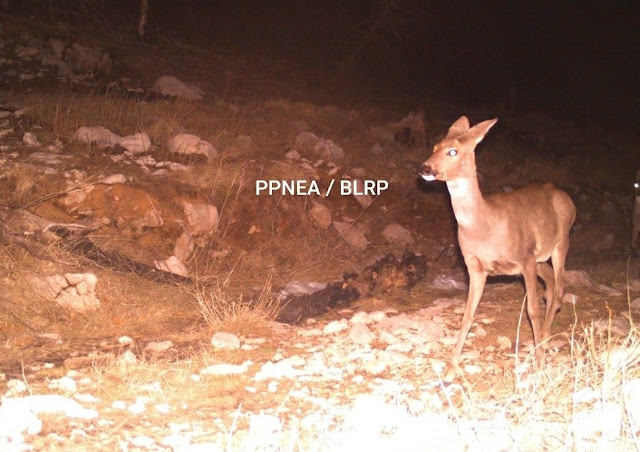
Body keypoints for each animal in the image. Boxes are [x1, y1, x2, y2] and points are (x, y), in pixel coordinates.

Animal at [422, 116, 576, 382]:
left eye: (453, 151)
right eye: (434, 147)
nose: (426, 168)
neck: (485, 227)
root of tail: (565, 197)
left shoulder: (525, 258)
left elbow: (532, 310)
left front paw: (538, 363)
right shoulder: (475, 267)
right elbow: (467, 315)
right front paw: (450, 370)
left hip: (560, 243)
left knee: (559, 288)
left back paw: (544, 341)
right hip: (540, 258)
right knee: (551, 283)